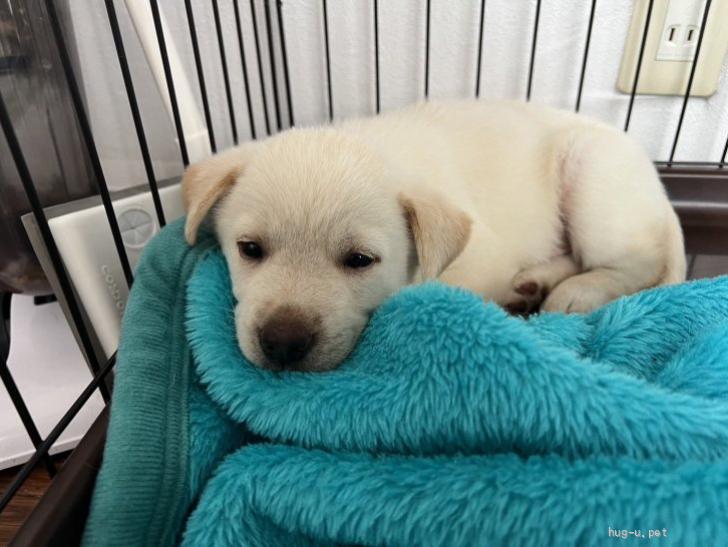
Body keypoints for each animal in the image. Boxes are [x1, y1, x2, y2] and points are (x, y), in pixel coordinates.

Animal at [182, 100, 685, 372]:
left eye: (360, 260)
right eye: (249, 249)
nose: (283, 344)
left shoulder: (483, 256)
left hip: (592, 178)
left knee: (636, 262)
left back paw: (577, 291)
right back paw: (533, 283)